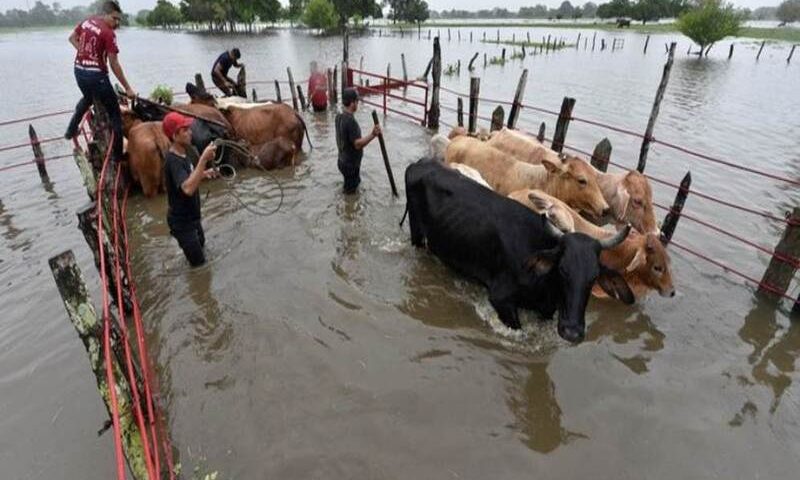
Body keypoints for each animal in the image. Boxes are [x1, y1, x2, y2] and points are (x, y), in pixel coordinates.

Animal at [404, 159, 636, 344]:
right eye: (562, 269)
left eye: (594, 277)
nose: (572, 332)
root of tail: (421, 163)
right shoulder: (500, 299)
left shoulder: (546, 311)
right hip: (416, 232)